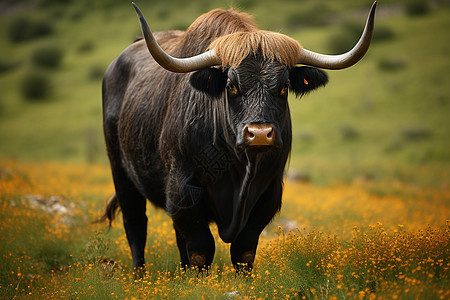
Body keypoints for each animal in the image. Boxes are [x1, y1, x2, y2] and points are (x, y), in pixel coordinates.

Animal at [101, 2, 376, 272]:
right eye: (231, 85)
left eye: (284, 86)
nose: (260, 134)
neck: (241, 168)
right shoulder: (183, 189)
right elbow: (201, 250)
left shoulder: (269, 193)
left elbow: (243, 251)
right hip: (121, 173)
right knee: (136, 225)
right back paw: (138, 276)